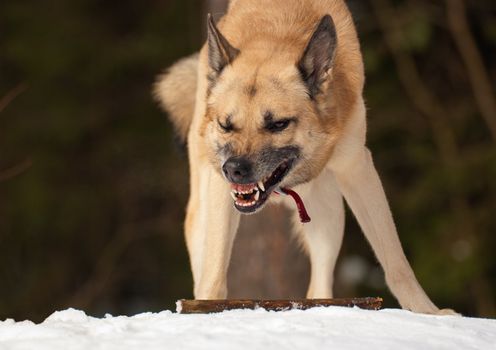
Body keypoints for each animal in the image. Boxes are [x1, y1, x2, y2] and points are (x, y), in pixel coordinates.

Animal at [154, 0, 454, 314]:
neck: (277, 29)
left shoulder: (357, 169)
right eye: (226, 125)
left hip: (329, 212)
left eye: (278, 124)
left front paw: (428, 313)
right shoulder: (220, 193)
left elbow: (395, 261)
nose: (234, 169)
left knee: (318, 286)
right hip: (202, 214)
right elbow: (213, 272)